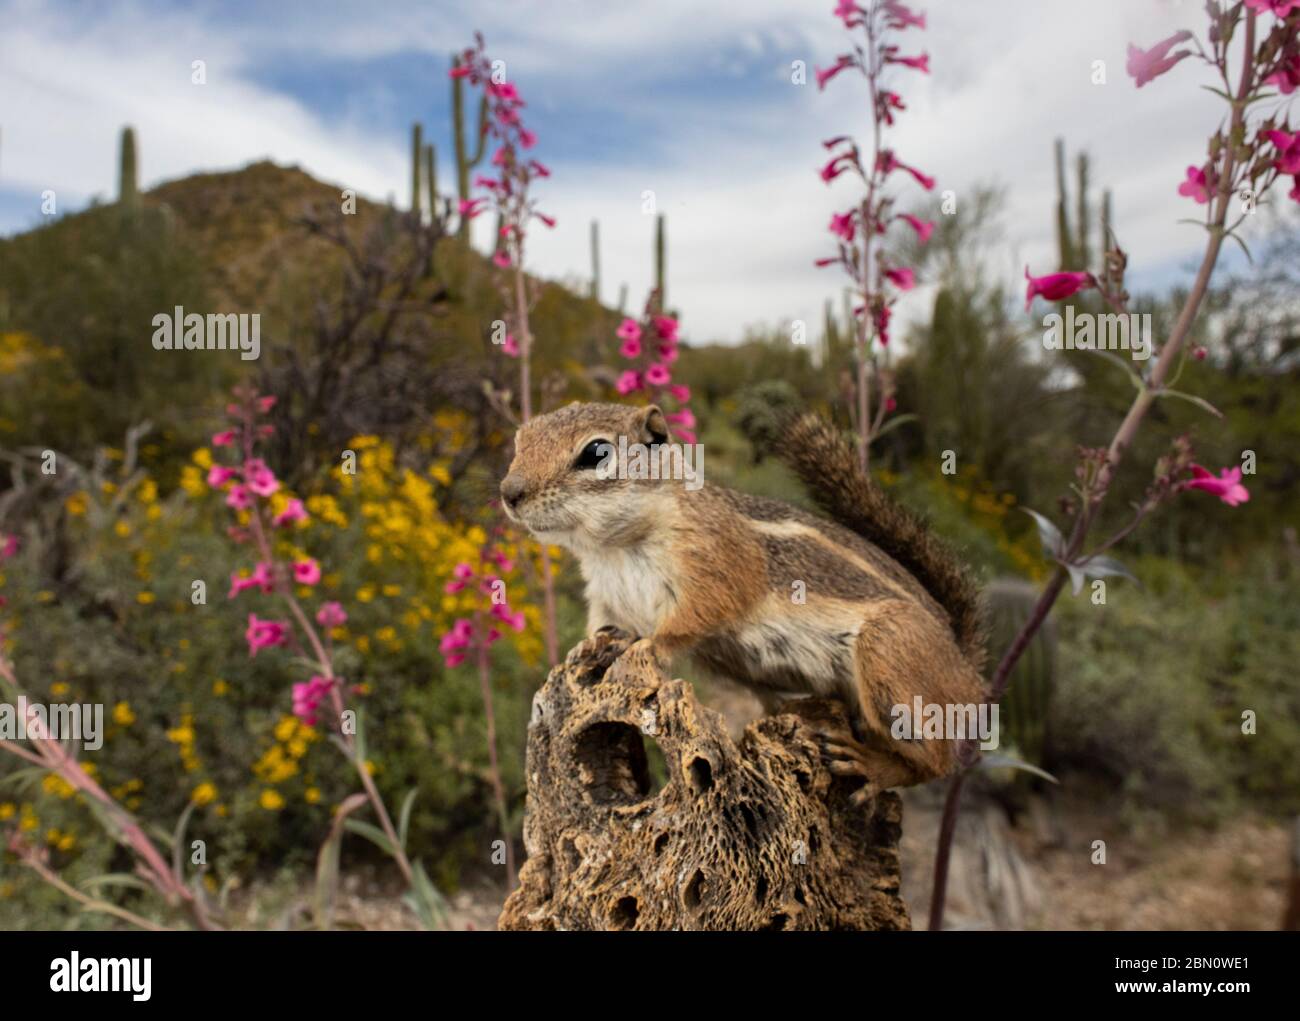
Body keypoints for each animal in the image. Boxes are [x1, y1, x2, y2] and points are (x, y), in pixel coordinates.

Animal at [501, 401, 987, 801]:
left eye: (597, 452)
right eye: (521, 439)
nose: (509, 493)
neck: (613, 550)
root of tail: (965, 666)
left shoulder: (716, 568)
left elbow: (690, 621)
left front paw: (642, 652)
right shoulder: (605, 596)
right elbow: (603, 626)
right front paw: (590, 648)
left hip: (890, 656)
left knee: (935, 762)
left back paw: (871, 765)